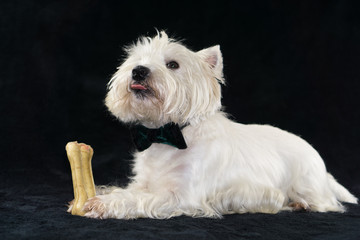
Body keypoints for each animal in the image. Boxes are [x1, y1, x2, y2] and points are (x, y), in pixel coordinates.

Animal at [82, 31, 358, 218]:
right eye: (136, 60)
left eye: (173, 64)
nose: (138, 71)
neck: (167, 134)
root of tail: (320, 163)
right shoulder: (145, 182)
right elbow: (130, 189)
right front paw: (103, 192)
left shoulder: (182, 196)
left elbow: (138, 199)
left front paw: (104, 203)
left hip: (307, 183)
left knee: (325, 202)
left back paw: (299, 203)